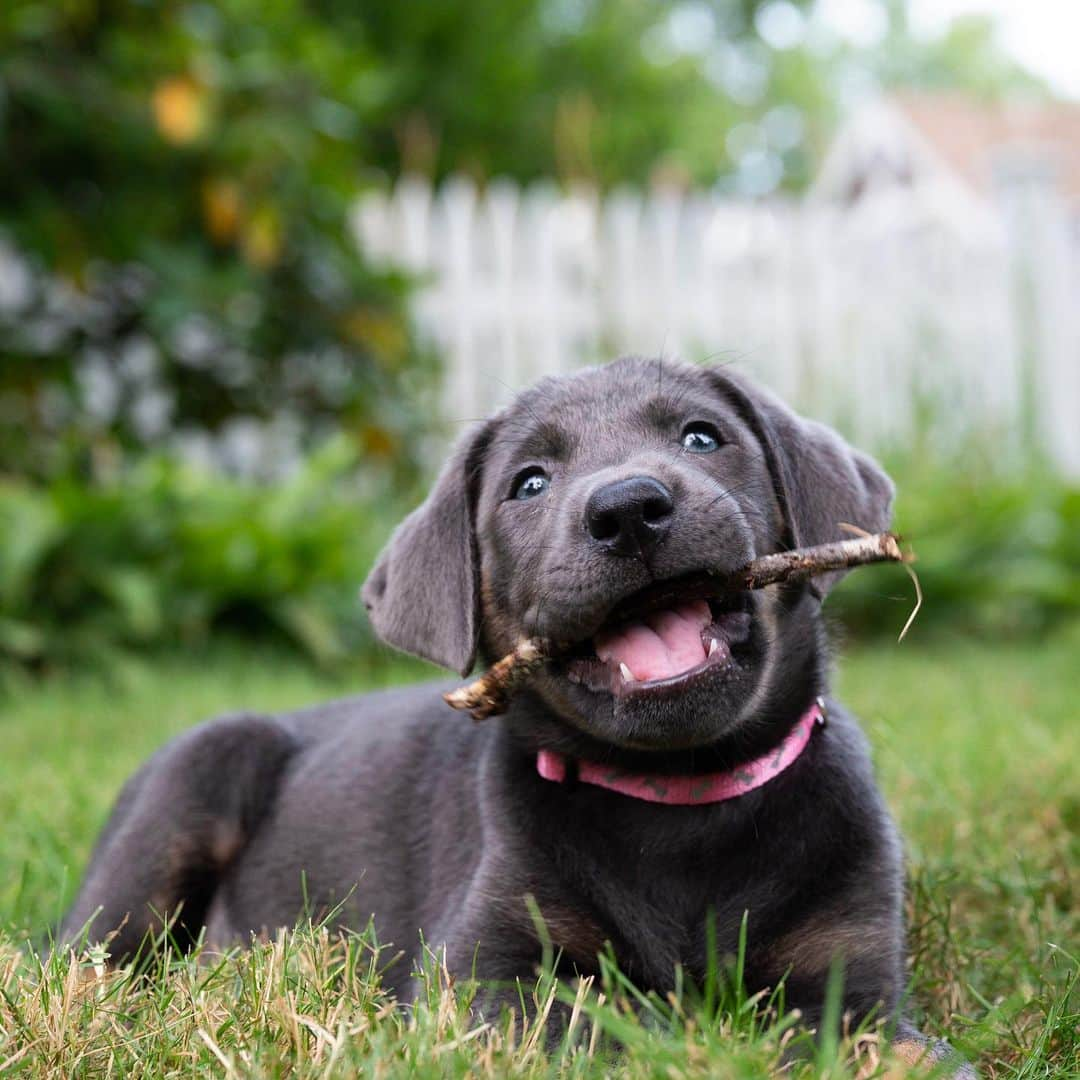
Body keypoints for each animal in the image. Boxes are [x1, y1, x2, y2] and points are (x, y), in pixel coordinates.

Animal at [59, 358, 972, 1067]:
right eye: (528, 484)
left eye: (703, 437)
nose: (629, 508)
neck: (680, 802)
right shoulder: (477, 976)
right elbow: (608, 1022)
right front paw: (694, 1039)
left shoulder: (854, 974)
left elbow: (888, 1046)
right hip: (189, 788)